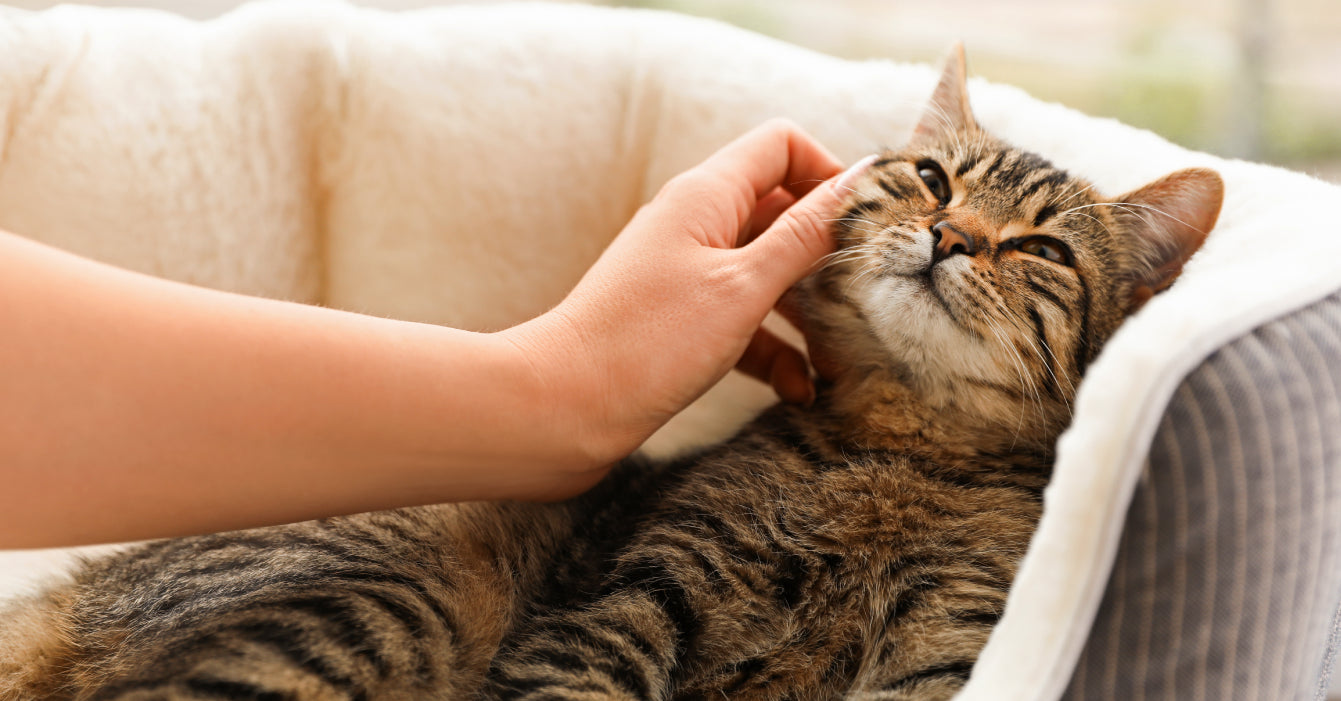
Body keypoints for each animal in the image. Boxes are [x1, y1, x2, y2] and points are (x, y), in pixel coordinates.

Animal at [0, 49, 1222, 701]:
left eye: (1042, 248)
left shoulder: (947, 649)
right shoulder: (639, 594)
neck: (894, 452)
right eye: (929, 177)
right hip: (390, 600)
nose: (953, 236)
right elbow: (582, 675)